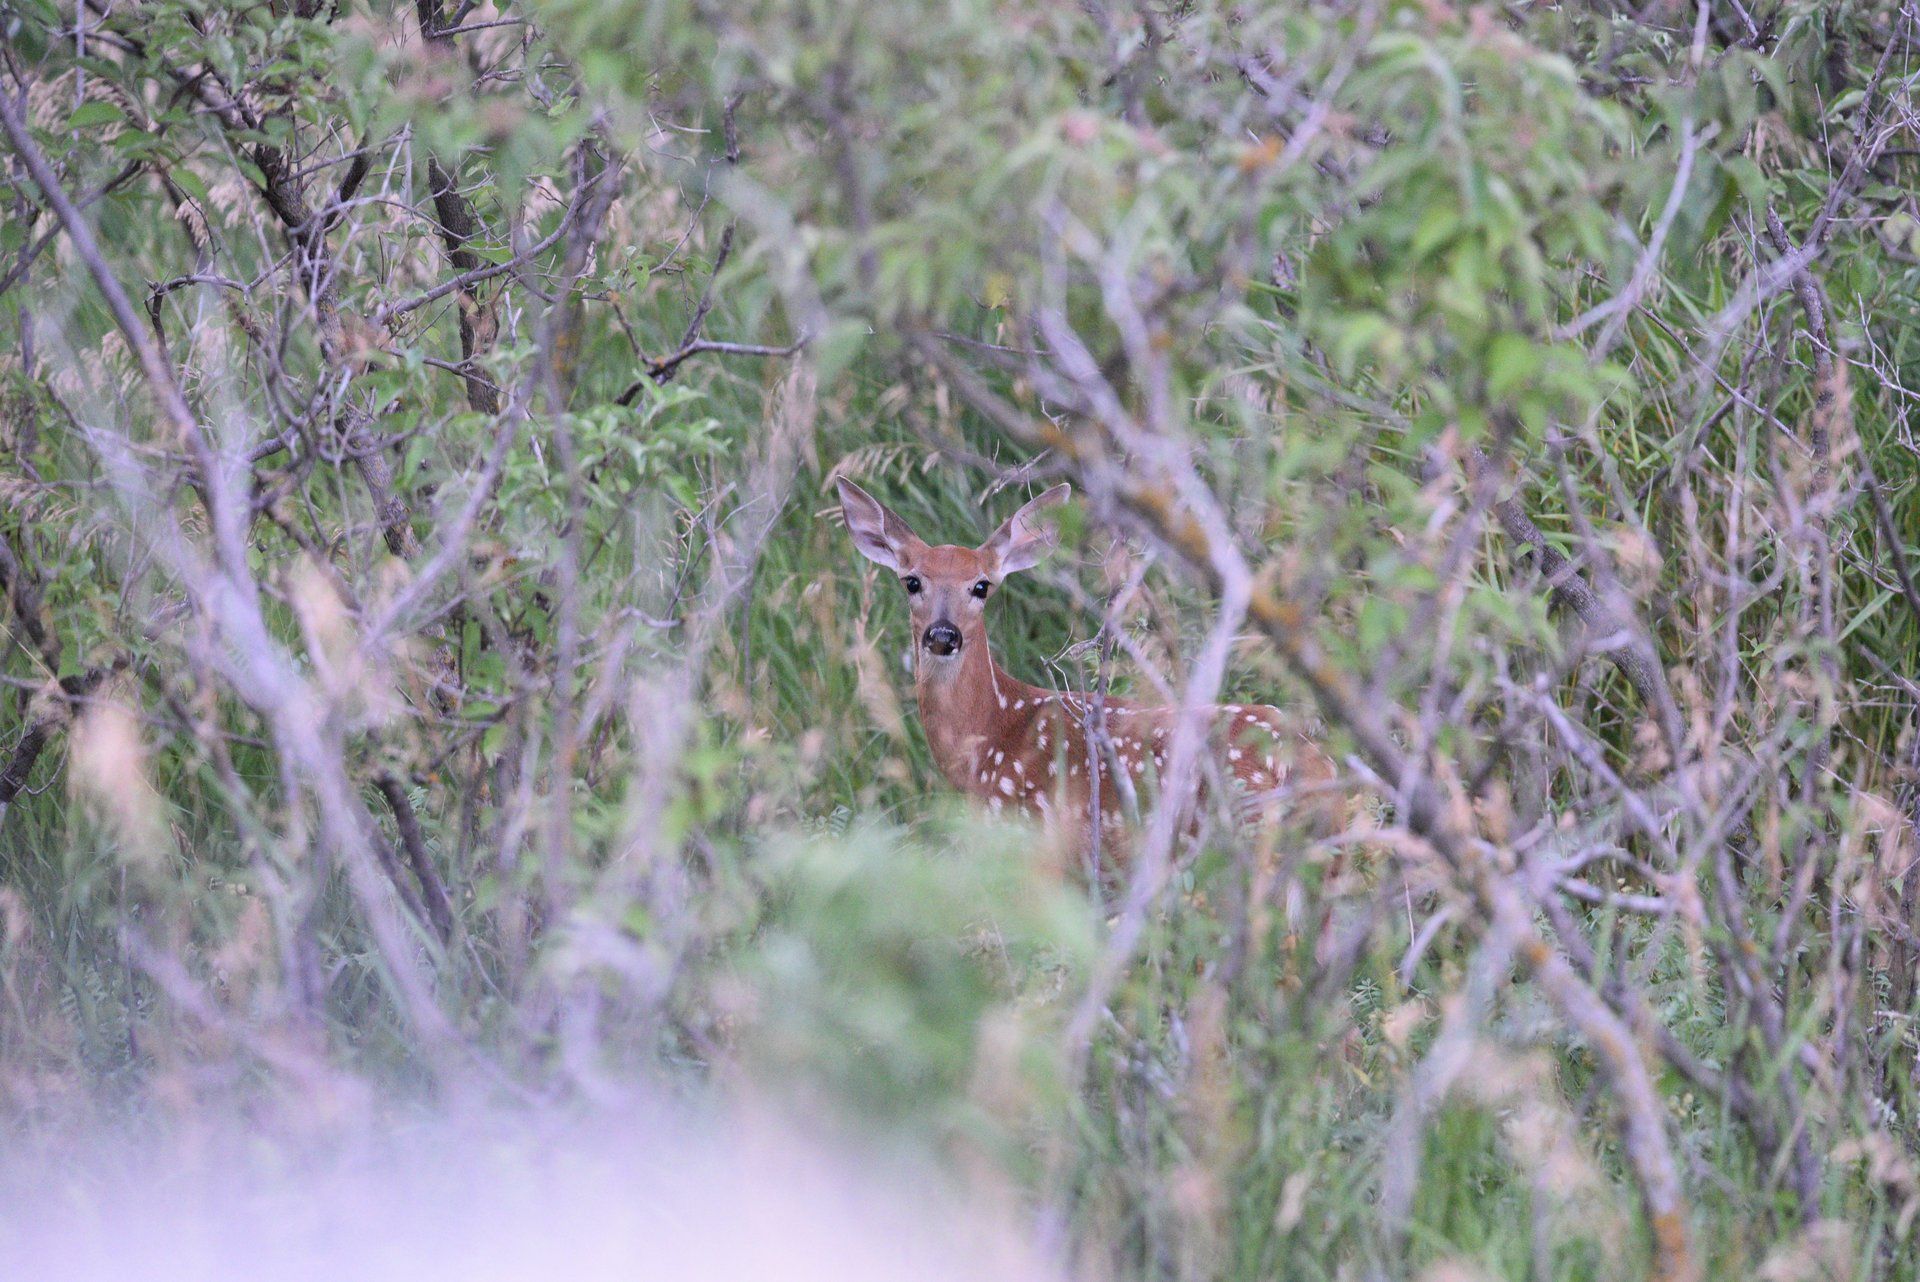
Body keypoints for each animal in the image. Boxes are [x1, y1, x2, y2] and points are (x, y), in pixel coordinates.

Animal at [835, 477, 1337, 866]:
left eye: (981, 586)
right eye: (912, 581)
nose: (943, 635)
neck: (991, 733)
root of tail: (1317, 764)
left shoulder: (1034, 837)